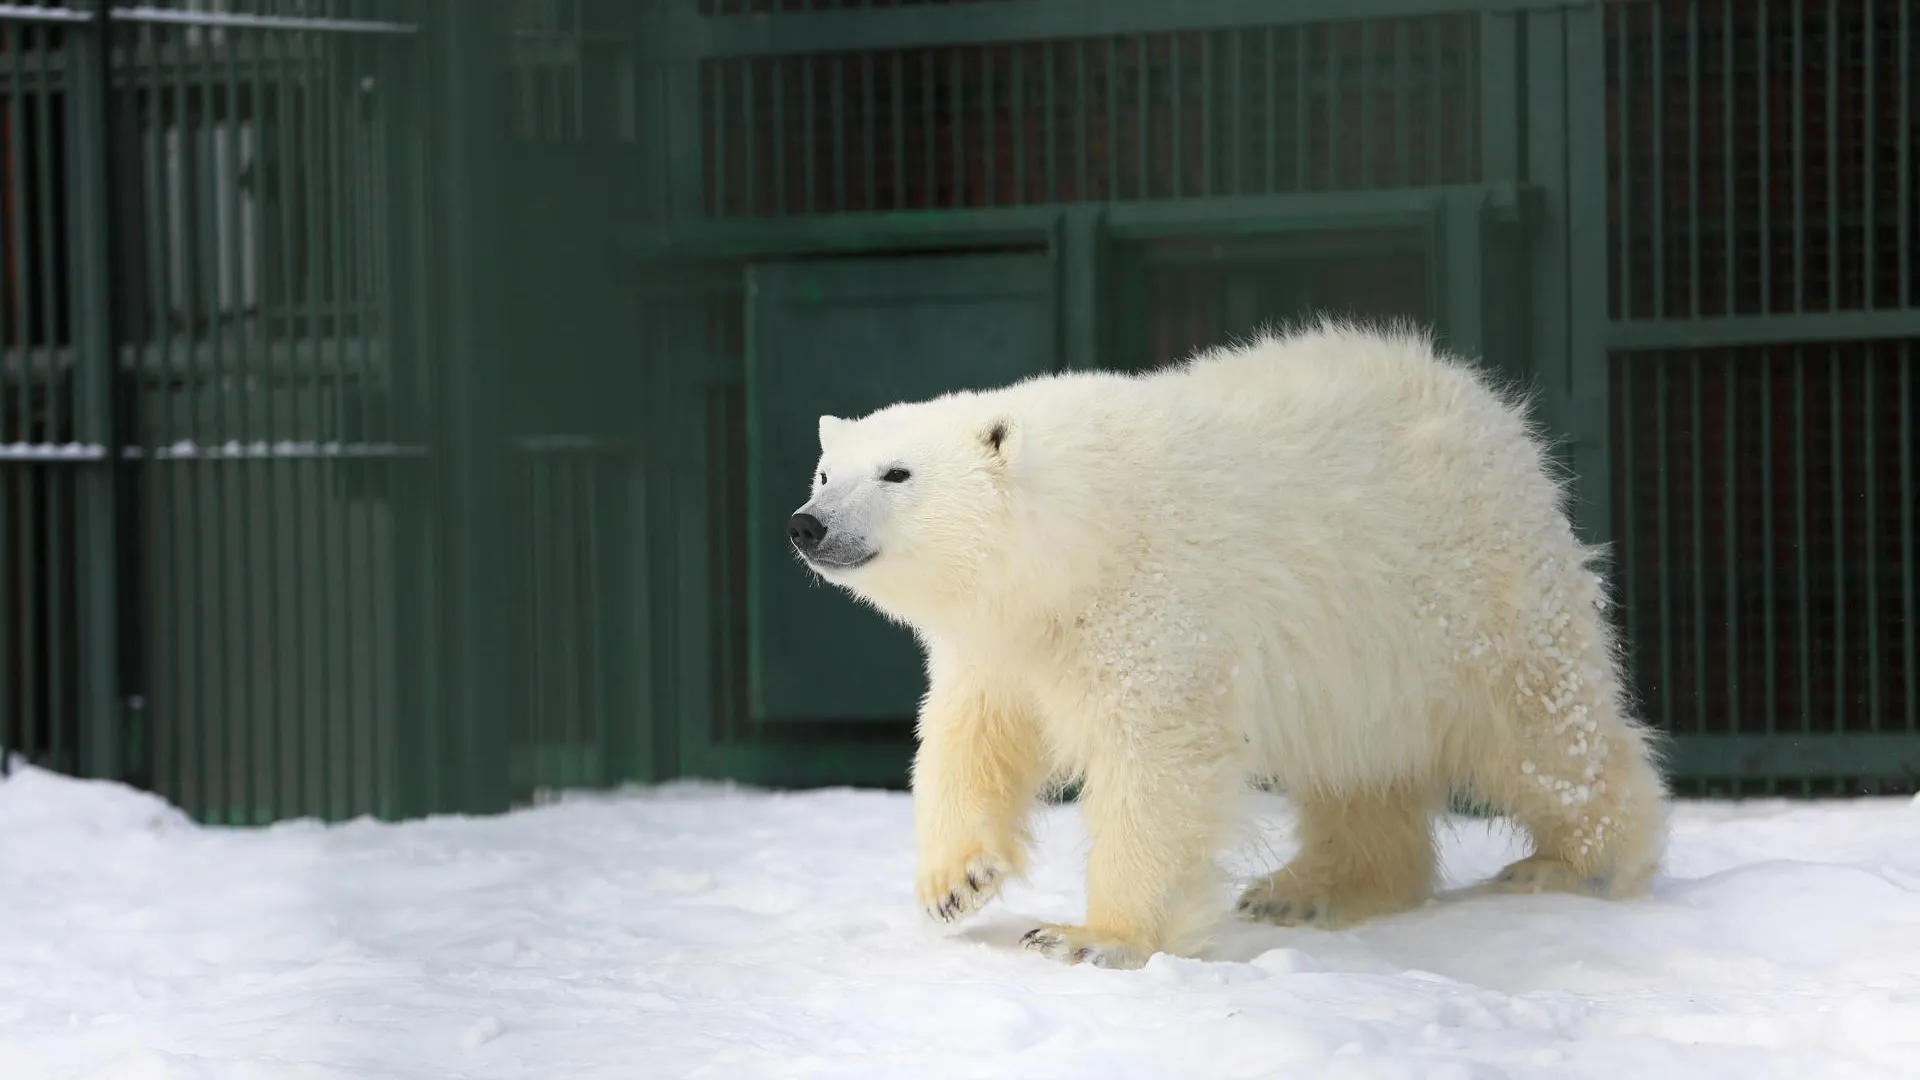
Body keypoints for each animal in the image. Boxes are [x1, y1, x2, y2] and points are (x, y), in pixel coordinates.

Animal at [787, 315, 1674, 960]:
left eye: (898, 473)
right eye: (826, 473)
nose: (808, 525)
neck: (1077, 537)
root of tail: (1494, 414)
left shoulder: (1152, 601)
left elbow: (1156, 760)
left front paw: (1089, 936)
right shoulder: (1000, 643)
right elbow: (969, 739)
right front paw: (957, 882)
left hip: (1470, 592)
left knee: (1542, 730)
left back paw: (1579, 861)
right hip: (1365, 655)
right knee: (1362, 766)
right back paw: (1310, 889)